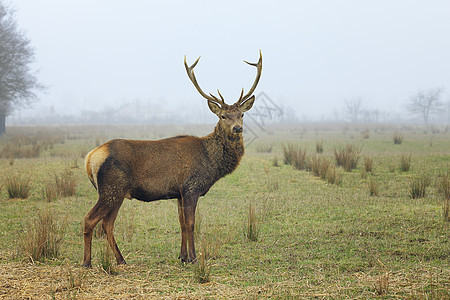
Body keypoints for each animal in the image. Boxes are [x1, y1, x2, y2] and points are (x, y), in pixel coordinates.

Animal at [82, 50, 262, 266]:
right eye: (223, 116)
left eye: (241, 114)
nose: (237, 128)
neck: (211, 163)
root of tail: (90, 157)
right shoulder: (191, 186)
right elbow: (191, 223)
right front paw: (193, 258)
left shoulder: (178, 193)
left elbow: (182, 223)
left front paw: (182, 256)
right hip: (111, 188)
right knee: (89, 219)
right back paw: (87, 262)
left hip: (117, 192)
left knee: (107, 224)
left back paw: (121, 259)